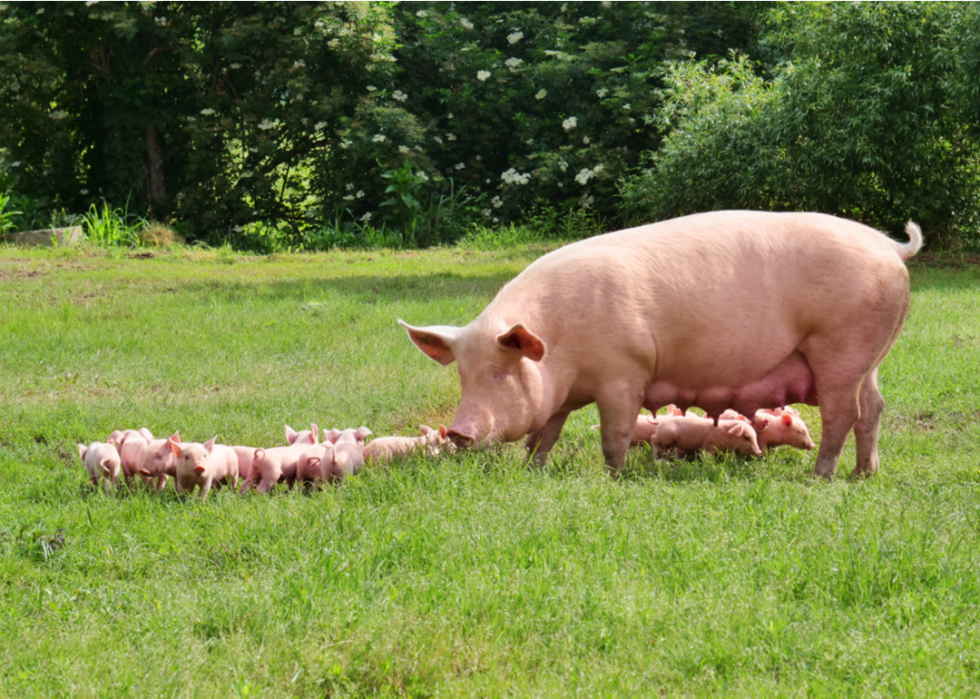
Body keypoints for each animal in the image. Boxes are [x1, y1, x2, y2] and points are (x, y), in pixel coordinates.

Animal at [398, 211, 920, 478]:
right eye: (463, 374)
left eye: (500, 371)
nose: (458, 431)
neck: (561, 349)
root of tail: (891, 247)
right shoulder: (562, 394)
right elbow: (545, 431)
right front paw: (533, 469)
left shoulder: (624, 372)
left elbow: (614, 433)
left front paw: (613, 477)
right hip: (870, 357)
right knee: (874, 408)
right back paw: (864, 475)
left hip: (840, 347)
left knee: (844, 413)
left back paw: (819, 476)